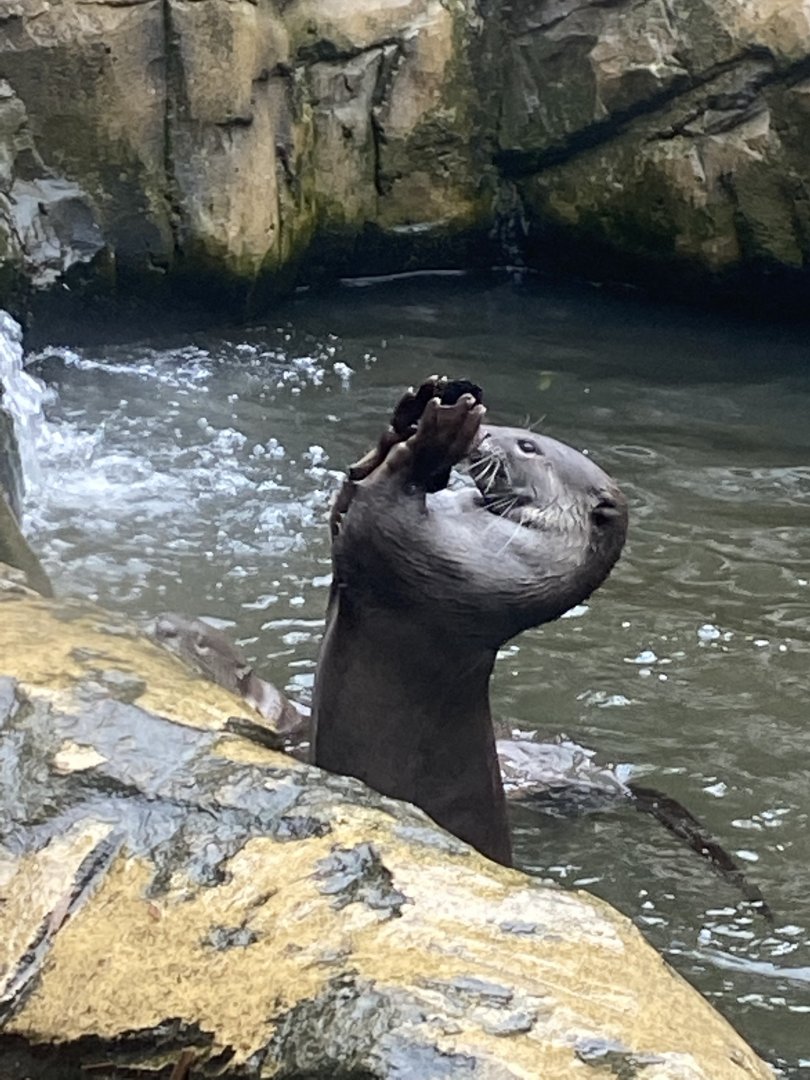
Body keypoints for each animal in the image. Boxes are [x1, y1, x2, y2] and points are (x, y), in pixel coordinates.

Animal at [312, 378, 628, 866]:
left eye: (528, 446)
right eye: (526, 434)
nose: (487, 431)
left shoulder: (447, 567)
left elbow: (380, 515)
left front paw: (435, 439)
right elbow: (346, 505)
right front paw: (411, 413)